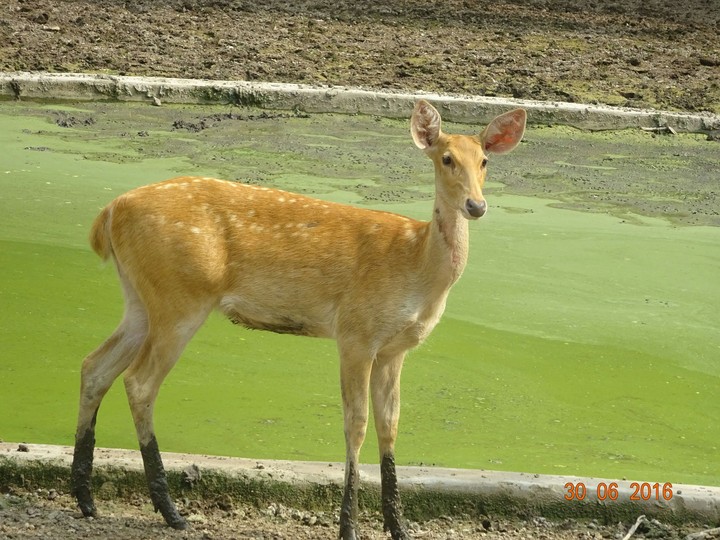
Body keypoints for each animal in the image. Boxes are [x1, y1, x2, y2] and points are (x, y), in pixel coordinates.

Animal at [70, 99, 526, 539]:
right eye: (446, 158)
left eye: (485, 160)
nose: (476, 205)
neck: (417, 265)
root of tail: (108, 213)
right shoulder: (356, 332)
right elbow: (356, 425)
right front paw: (348, 528)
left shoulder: (396, 348)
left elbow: (390, 426)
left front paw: (399, 528)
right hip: (180, 296)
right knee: (139, 381)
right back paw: (171, 513)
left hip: (140, 298)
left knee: (95, 365)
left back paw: (86, 500)